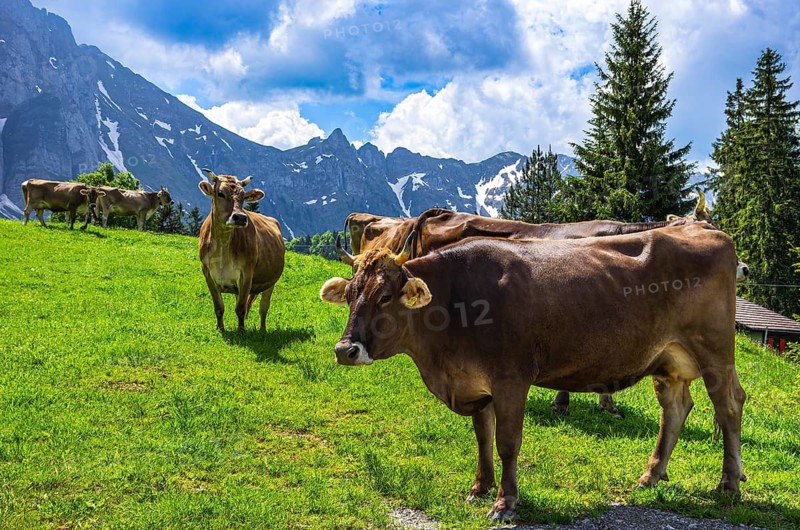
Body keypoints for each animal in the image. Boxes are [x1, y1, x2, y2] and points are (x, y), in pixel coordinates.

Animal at [197, 169, 285, 332]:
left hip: (271, 282)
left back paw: (262, 330)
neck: (222, 247)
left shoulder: (246, 274)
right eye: (220, 193)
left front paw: (241, 331)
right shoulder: (207, 273)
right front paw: (220, 329)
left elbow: (241, 308)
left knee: (263, 308)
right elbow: (219, 307)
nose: (240, 217)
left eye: (244, 196)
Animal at [321, 225, 745, 522]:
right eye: (350, 294)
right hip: (668, 360)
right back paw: (651, 476)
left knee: (729, 407)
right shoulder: (476, 384)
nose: (345, 350)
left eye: (385, 296)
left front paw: (505, 503)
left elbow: (507, 442)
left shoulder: (511, 378)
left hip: (715, 351)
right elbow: (482, 437)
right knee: (675, 408)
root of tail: (705, 229)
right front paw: (480, 486)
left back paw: (729, 484)